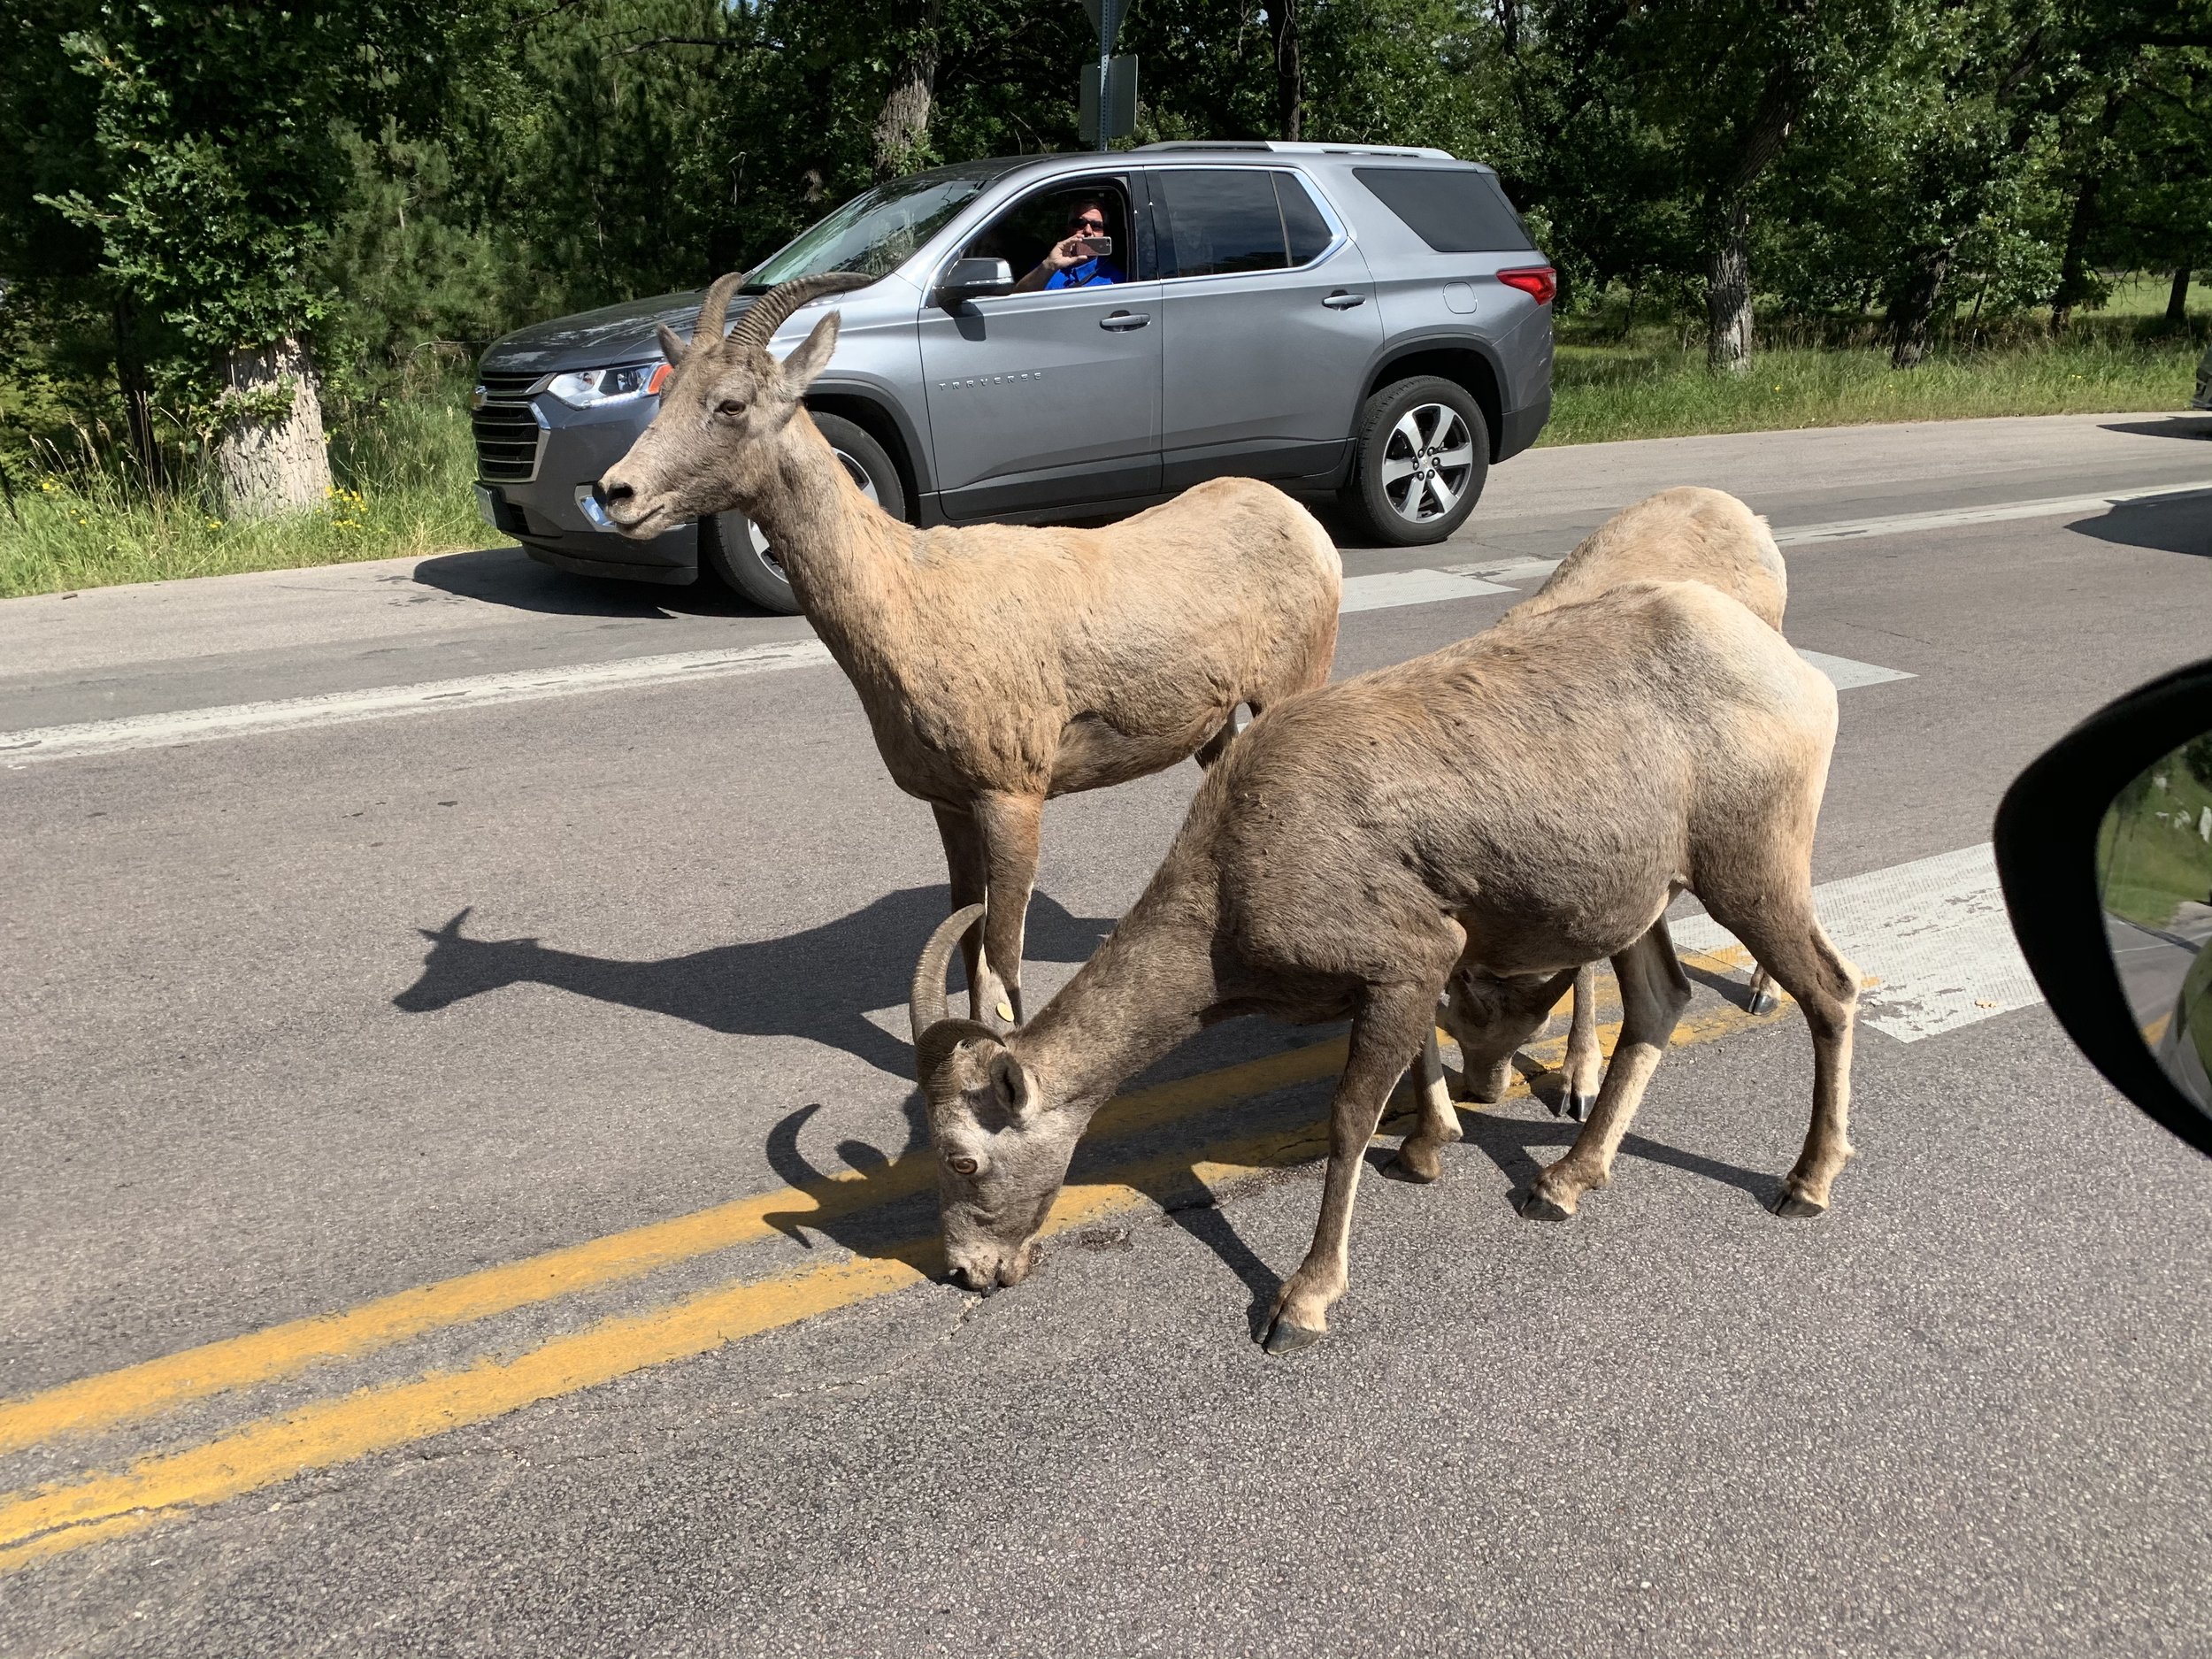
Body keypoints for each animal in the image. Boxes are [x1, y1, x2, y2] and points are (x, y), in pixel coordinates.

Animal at [597, 274, 1336, 1035]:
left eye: (731, 403)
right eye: (666, 394)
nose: (617, 493)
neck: (911, 595)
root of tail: (1303, 526)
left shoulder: (1012, 798)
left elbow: (1002, 958)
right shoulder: (949, 806)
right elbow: (966, 939)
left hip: (1294, 683)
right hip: (1215, 728)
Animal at [907, 580, 1858, 1354]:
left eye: (962, 1159)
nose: (969, 1271)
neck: (1233, 874)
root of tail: (1798, 677)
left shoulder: (1407, 960)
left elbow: (1350, 1117)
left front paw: (1301, 1305)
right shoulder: (1414, 967)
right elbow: (1419, 1061)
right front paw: (1431, 1148)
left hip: (1751, 870)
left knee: (1832, 991)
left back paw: (1804, 1185)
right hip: (1642, 901)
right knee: (1661, 1003)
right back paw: (1560, 1185)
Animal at [1433, 484, 1796, 1159]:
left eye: (1526, 1029)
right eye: (1465, 1020)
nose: (1482, 1091)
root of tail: (1748, 516)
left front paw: (1579, 1081)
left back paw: (1764, 988)